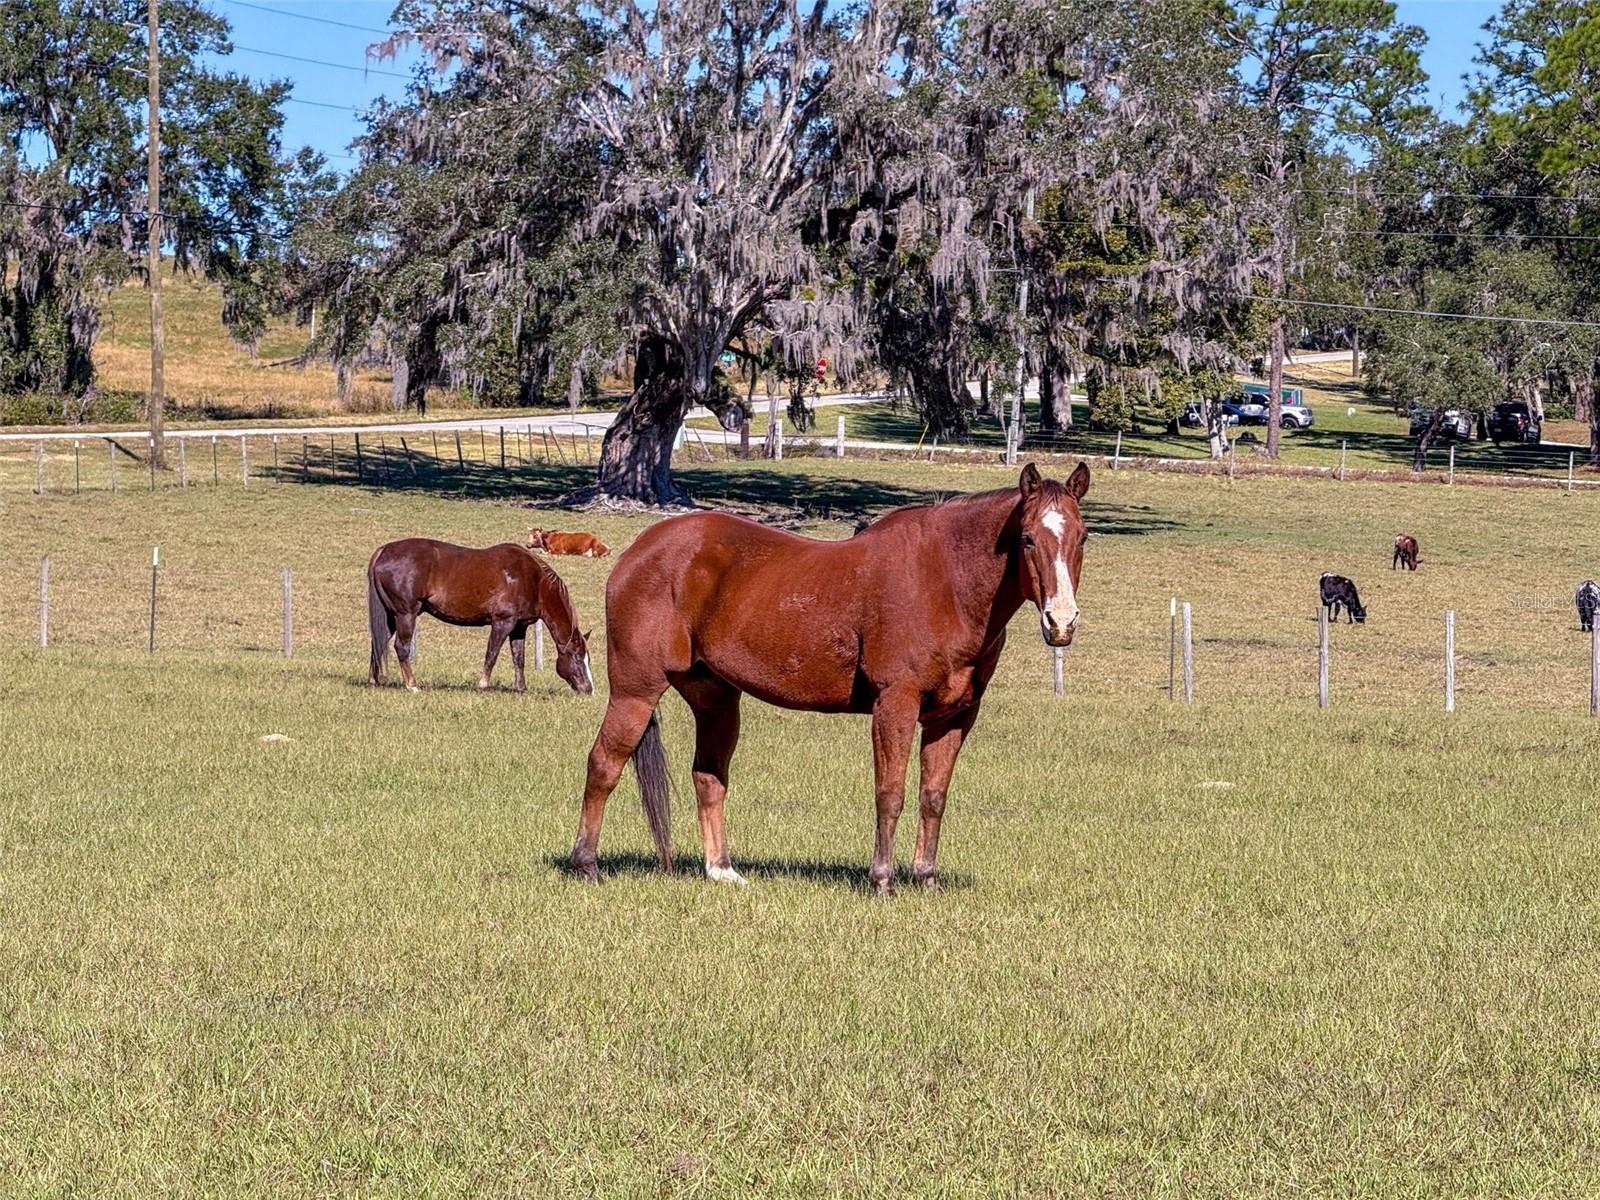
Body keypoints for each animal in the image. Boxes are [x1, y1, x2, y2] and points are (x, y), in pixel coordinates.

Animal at [368, 537, 595, 694]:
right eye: (578, 657)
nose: (589, 690)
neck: (533, 580)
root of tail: (383, 551)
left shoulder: (519, 627)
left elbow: (519, 658)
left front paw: (521, 688)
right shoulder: (503, 622)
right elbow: (491, 654)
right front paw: (483, 685)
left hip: (390, 616)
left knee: (378, 643)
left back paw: (374, 681)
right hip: (406, 614)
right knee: (401, 647)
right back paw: (412, 685)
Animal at [572, 464, 1088, 896]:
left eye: (1082, 538)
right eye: (1027, 539)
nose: (1061, 622)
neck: (945, 581)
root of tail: (636, 552)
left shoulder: (955, 716)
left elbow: (933, 797)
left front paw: (926, 878)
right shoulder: (895, 704)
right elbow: (890, 793)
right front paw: (882, 880)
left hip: (715, 699)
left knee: (708, 777)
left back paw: (721, 871)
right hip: (636, 691)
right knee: (603, 764)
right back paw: (586, 864)